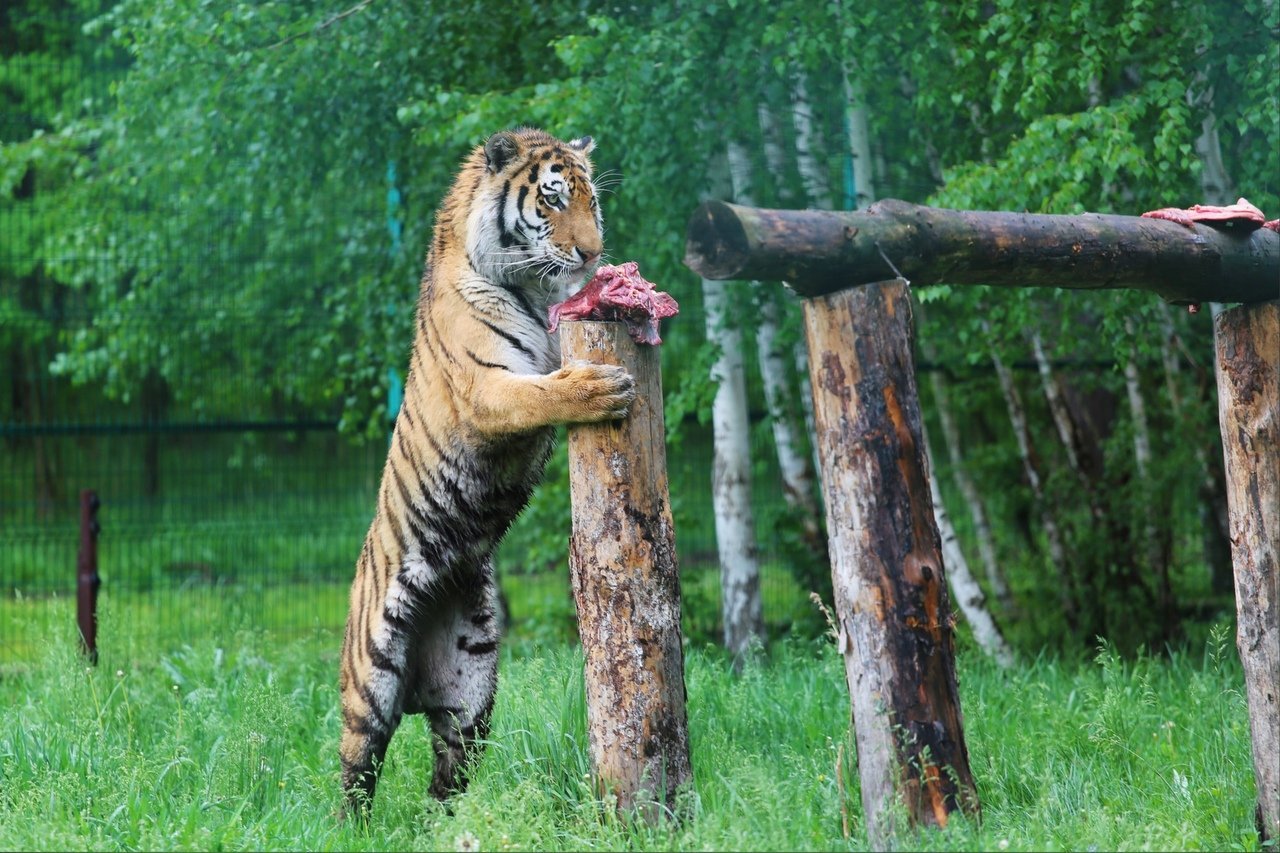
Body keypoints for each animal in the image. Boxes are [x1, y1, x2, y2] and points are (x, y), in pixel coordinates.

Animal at [340, 124, 634, 809]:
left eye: (592, 200)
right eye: (553, 198)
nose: (592, 256)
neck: (534, 288)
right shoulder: (486, 389)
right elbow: (545, 392)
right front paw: (600, 388)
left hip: (471, 691)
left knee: (444, 782)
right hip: (370, 684)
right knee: (353, 781)